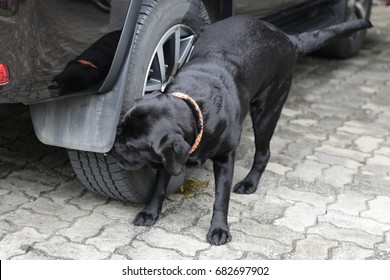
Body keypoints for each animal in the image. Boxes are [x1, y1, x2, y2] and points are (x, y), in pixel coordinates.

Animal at [115, 17, 372, 245]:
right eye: (120, 128)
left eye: (132, 145)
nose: (112, 148)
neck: (196, 110)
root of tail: (287, 38)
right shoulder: (169, 160)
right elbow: (159, 186)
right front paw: (150, 212)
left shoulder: (225, 157)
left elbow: (221, 198)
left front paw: (219, 229)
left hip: (267, 111)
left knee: (264, 152)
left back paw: (250, 183)